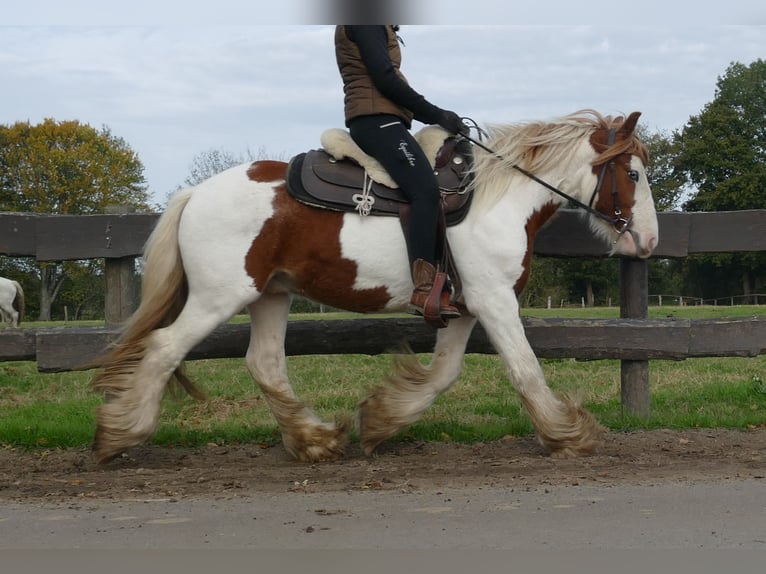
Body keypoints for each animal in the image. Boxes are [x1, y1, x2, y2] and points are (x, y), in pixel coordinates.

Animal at [91, 110, 660, 466]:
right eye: (632, 173)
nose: (650, 240)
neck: (496, 198)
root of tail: (194, 193)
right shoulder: (495, 301)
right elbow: (525, 370)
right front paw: (568, 436)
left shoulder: (467, 306)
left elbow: (443, 373)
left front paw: (382, 421)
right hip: (219, 297)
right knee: (164, 348)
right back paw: (119, 435)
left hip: (272, 294)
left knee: (265, 363)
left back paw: (315, 441)